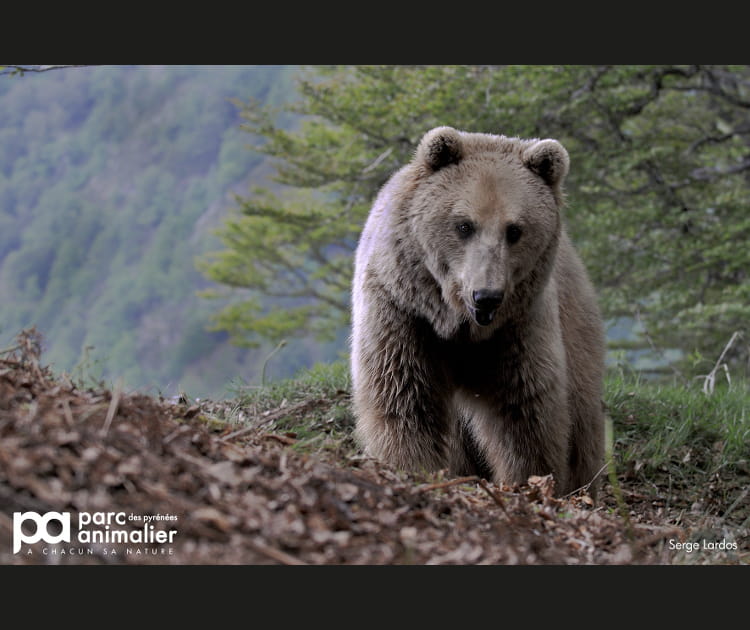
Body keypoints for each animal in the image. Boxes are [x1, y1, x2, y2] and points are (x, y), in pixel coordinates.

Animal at [352, 124, 604, 498]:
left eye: (514, 230)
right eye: (463, 225)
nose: (486, 296)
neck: (457, 324)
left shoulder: (518, 328)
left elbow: (523, 410)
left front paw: (531, 480)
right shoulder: (403, 312)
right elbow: (404, 395)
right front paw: (412, 467)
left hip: (574, 322)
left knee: (583, 414)